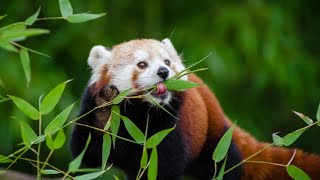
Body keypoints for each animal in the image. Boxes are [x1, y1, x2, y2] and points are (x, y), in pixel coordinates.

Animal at [70, 38, 320, 179]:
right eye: (141, 64)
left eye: (167, 62)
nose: (163, 72)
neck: (141, 116)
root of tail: (216, 108)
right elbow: (87, 151)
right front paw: (104, 113)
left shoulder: (170, 128)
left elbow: (163, 167)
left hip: (214, 139)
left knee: (225, 165)